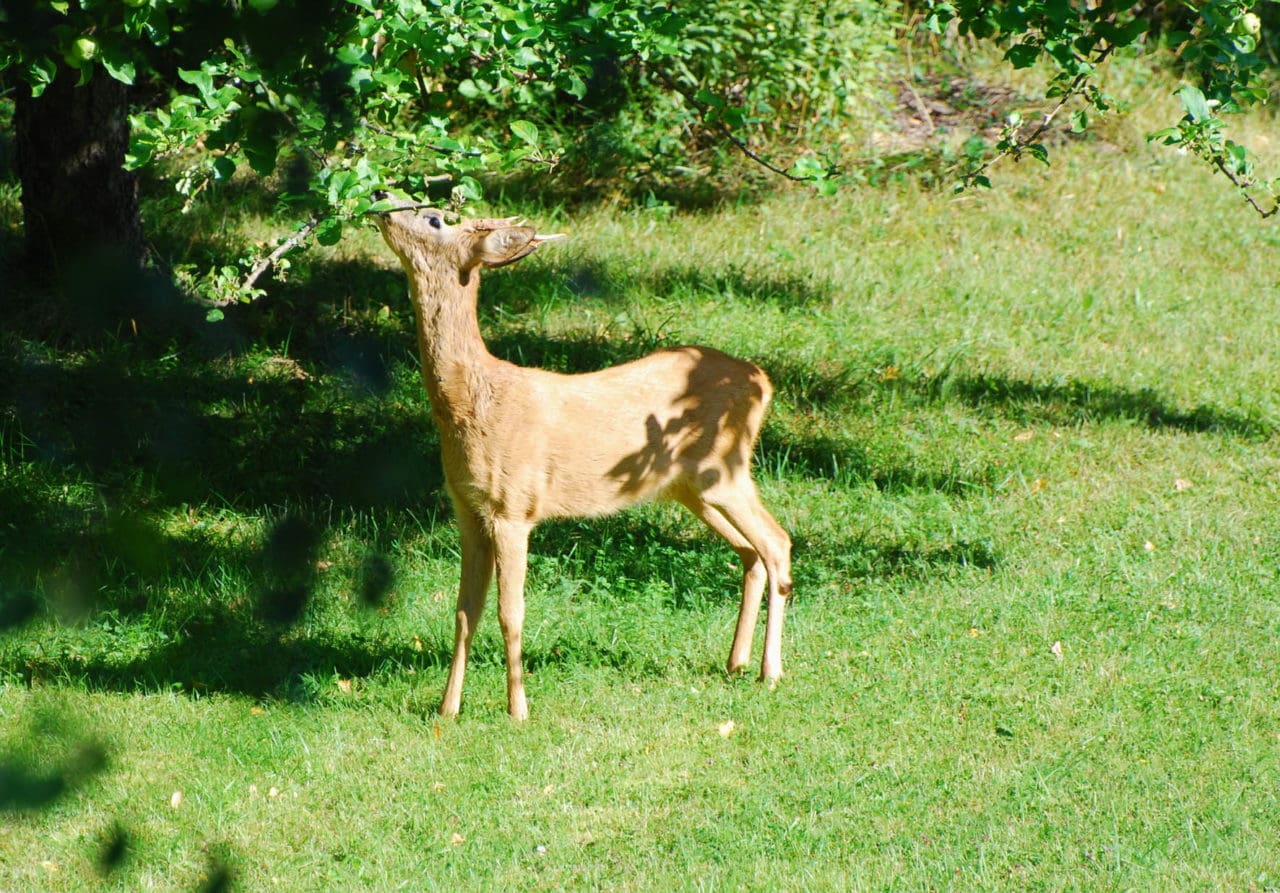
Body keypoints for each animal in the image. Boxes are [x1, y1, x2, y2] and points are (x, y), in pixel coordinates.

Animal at [371, 194, 788, 716]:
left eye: (433, 218)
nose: (381, 200)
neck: (476, 402)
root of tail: (762, 381)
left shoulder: (513, 507)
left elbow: (511, 613)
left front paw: (518, 710)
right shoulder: (467, 508)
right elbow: (465, 611)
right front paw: (448, 709)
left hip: (725, 469)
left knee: (778, 544)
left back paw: (771, 672)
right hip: (691, 487)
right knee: (751, 552)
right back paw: (736, 663)